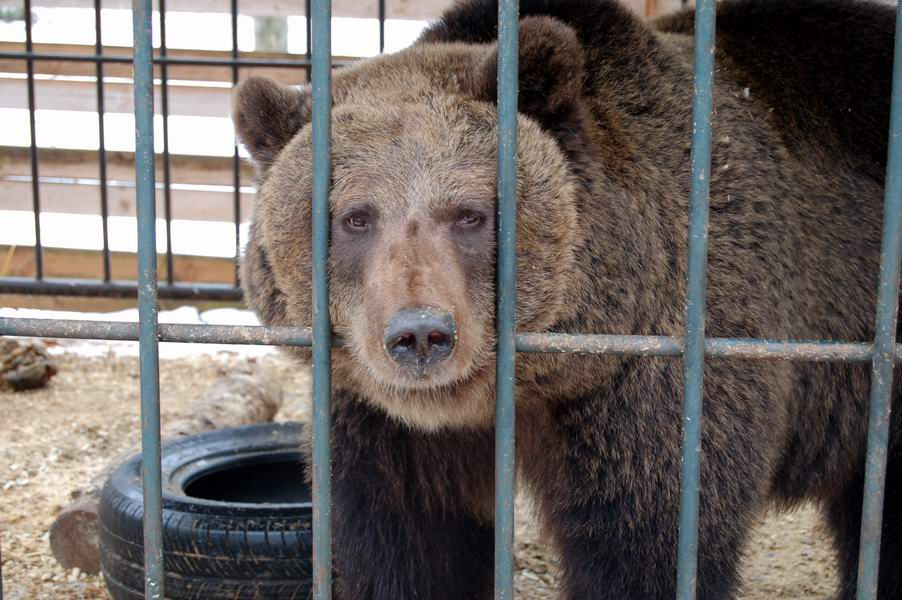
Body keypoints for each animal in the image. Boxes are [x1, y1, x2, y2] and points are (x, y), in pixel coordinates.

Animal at [232, 0, 902, 598]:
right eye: (355, 217)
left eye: (471, 214)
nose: (421, 334)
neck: (527, 386)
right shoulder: (384, 426)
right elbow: (407, 545)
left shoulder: (658, 379)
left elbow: (646, 547)